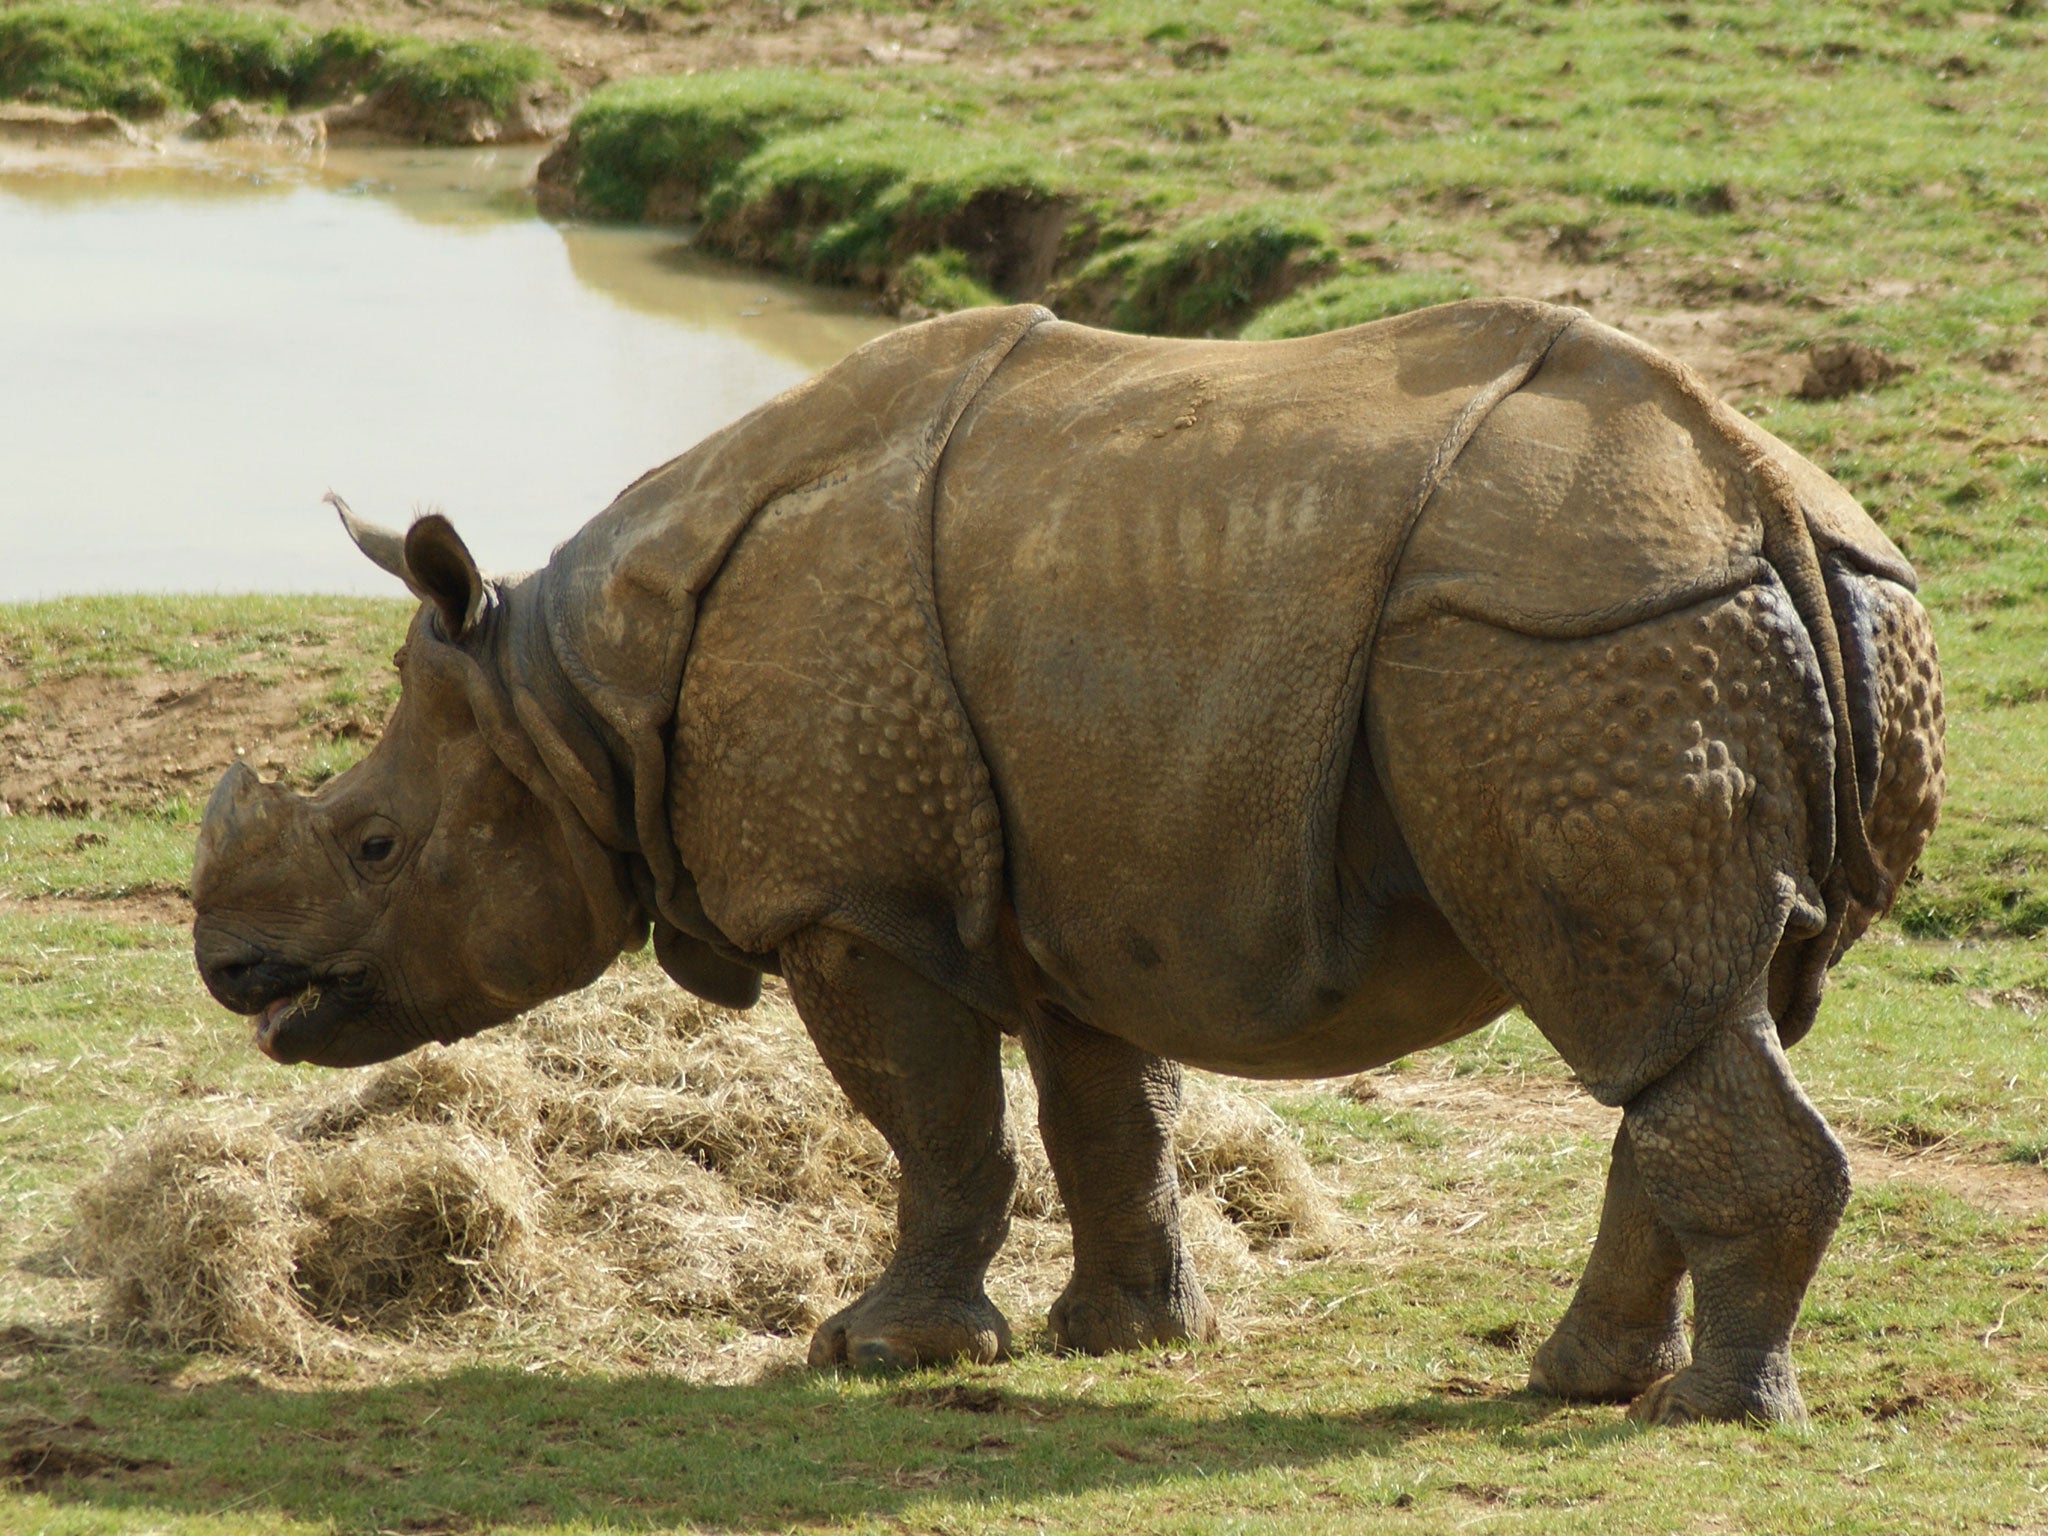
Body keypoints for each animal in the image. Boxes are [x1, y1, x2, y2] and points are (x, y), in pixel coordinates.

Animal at [195, 303, 1949, 1433]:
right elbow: (1109, 1115)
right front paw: (1126, 1339)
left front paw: (878, 1354)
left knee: (1642, 1013)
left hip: (1570, 649)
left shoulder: (854, 903)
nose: (230, 974)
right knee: (1695, 1023)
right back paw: (1587, 1381)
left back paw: (1706, 1419)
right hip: (1716, 628)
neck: (574, 708)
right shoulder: (1090, 884)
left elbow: (936, 1122)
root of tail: (1764, 494)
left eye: (375, 847)